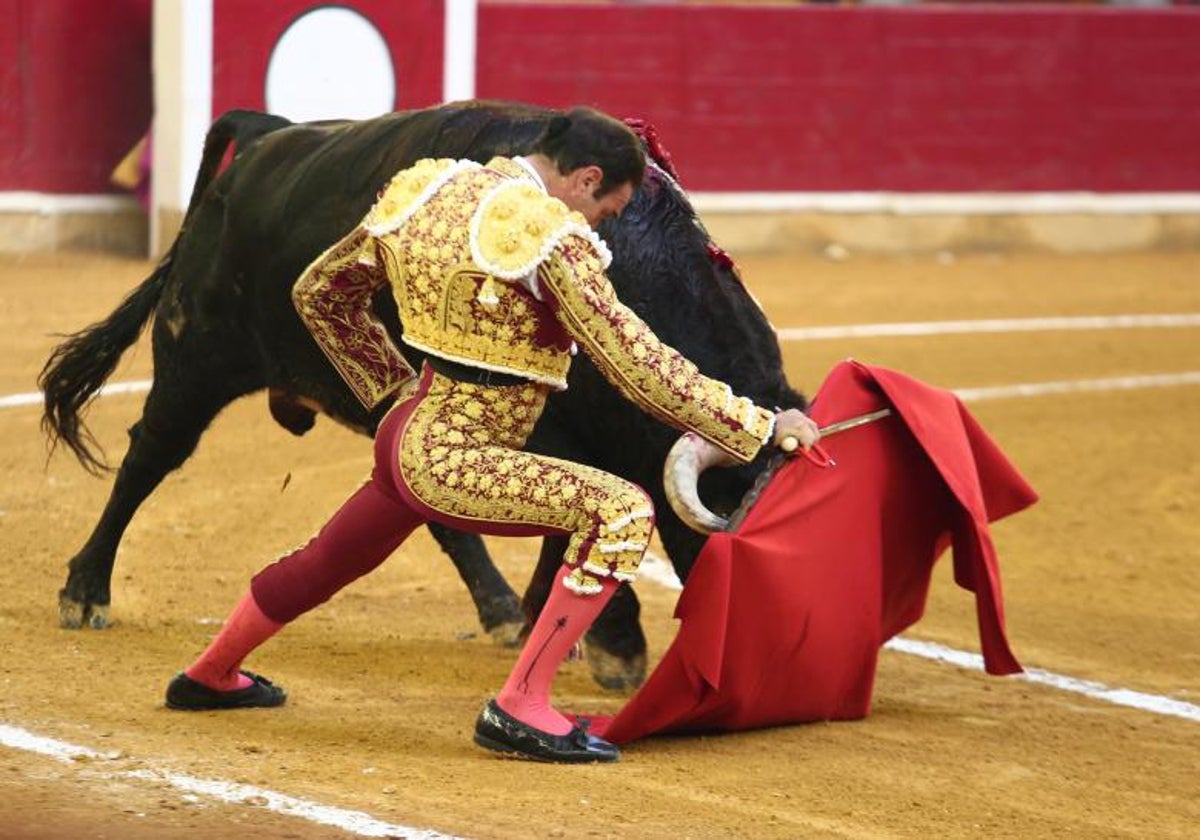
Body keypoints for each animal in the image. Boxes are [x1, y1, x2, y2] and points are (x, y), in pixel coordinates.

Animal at [39, 100, 806, 691]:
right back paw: (85, 592)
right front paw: (617, 649)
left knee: (434, 517)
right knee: (148, 458)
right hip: (196, 360)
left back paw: (502, 609)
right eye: (736, 540)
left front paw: (548, 617)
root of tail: (267, 138)